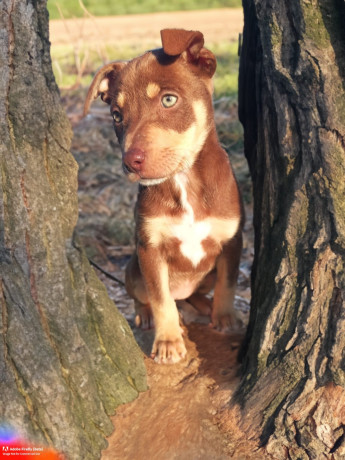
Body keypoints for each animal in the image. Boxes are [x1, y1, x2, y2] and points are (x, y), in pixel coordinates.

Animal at [84, 30, 243, 364]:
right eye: (116, 115)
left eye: (169, 99)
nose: (130, 162)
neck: (184, 181)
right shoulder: (150, 249)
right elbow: (161, 298)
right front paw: (168, 341)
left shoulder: (232, 239)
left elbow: (229, 282)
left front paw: (226, 318)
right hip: (133, 268)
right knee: (147, 297)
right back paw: (148, 316)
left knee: (198, 293)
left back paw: (205, 308)